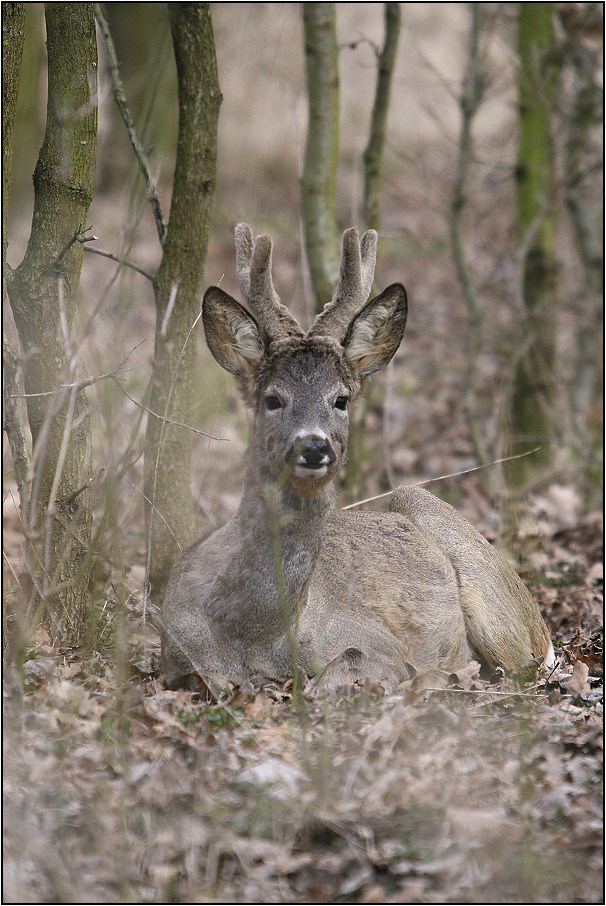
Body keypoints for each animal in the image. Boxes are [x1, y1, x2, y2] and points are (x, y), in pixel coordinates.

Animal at [162, 222, 556, 688]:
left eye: (342, 399)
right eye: (273, 399)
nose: (314, 447)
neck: (250, 633)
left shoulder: (373, 641)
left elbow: (346, 667)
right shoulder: (175, 653)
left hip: (489, 598)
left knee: (519, 666)